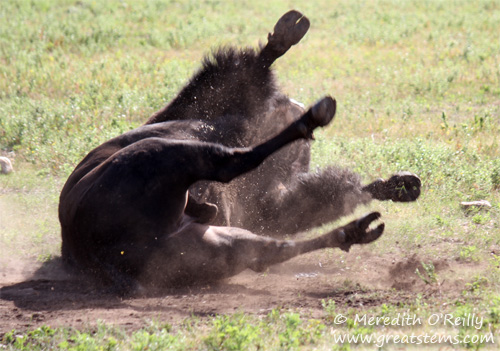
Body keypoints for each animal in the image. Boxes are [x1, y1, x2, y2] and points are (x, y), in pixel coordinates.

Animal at [56, 10, 420, 294]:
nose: (289, 106)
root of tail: (99, 258)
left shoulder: (268, 203)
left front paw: (399, 186)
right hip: (168, 157)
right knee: (234, 163)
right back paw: (315, 117)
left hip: (212, 245)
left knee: (265, 250)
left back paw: (358, 228)